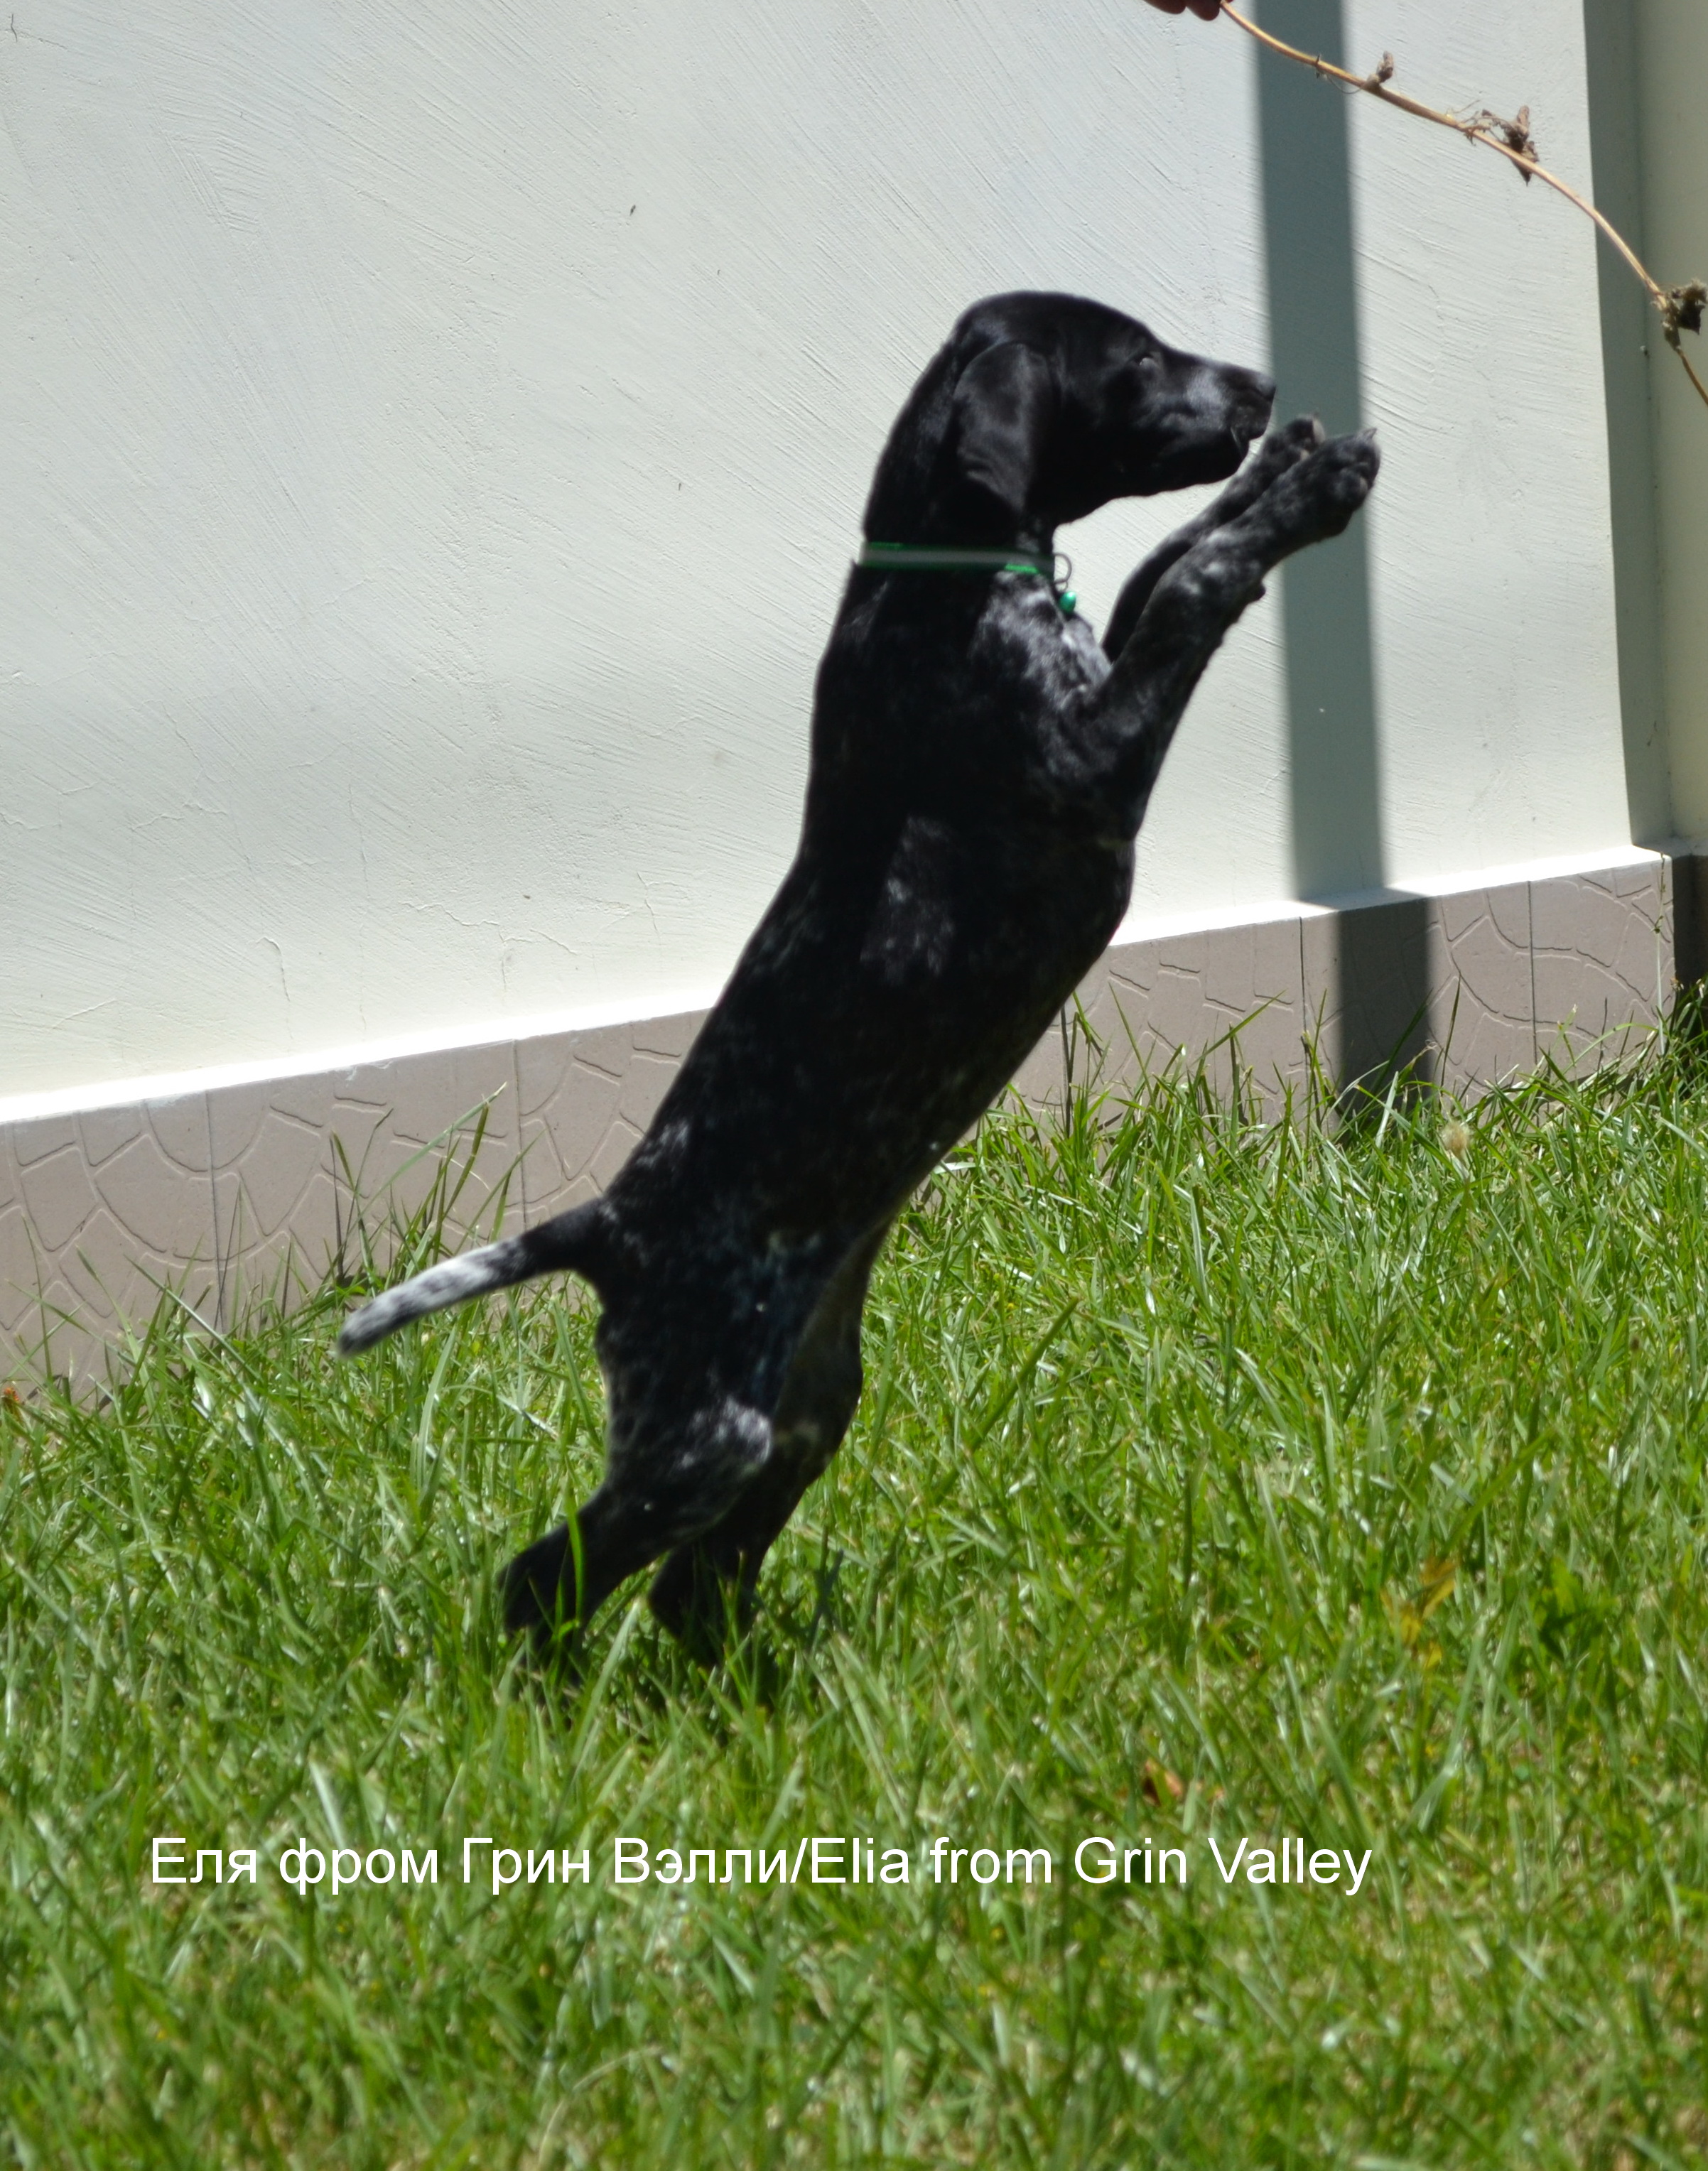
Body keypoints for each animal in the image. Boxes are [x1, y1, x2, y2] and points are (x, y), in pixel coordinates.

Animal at [338, 291, 1377, 1654]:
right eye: (1140, 359)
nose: (1258, 389)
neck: (936, 575)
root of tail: (607, 1227)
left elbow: (1171, 556)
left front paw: (1282, 473)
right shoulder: (1091, 764)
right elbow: (1193, 584)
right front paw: (1306, 490)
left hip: (804, 1412)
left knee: (688, 1585)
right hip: (706, 1438)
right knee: (548, 1576)